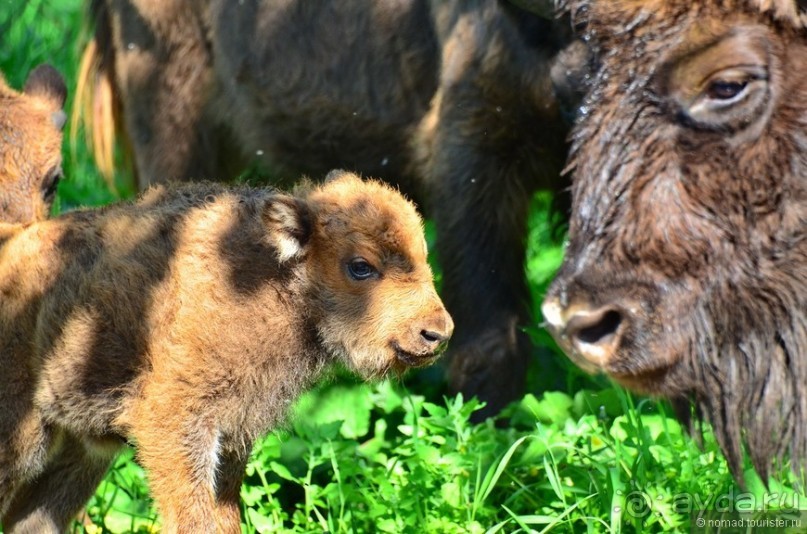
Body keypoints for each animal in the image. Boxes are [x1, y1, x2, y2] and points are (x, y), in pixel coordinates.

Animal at [0, 172, 454, 534]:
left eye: (423, 255)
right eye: (360, 266)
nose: (437, 332)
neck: (272, 281)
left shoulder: (234, 434)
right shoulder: (175, 426)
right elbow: (195, 518)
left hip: (81, 450)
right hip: (22, 436)